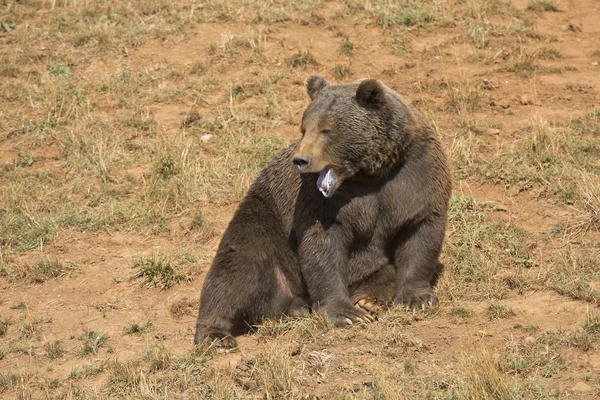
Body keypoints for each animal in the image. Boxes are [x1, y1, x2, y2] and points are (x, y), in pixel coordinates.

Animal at [195, 75, 452, 346]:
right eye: (304, 127)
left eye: (327, 129)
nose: (301, 159)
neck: (369, 172)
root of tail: (293, 300)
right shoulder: (321, 202)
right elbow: (323, 247)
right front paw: (346, 314)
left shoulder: (414, 175)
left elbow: (420, 229)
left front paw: (418, 299)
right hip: (265, 222)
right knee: (238, 268)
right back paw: (215, 334)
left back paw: (368, 300)